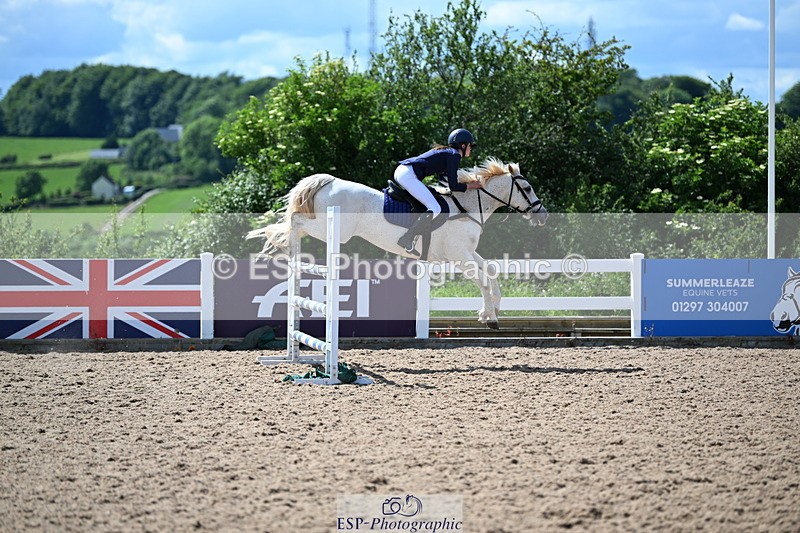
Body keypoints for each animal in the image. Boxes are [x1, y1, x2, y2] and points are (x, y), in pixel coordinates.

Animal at [248, 157, 548, 329]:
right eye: (528, 188)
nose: (542, 214)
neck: (468, 207)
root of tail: (329, 181)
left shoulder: (467, 253)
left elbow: (491, 271)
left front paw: (491, 310)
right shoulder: (459, 256)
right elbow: (482, 280)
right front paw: (491, 317)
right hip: (333, 230)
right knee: (295, 222)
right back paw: (278, 243)